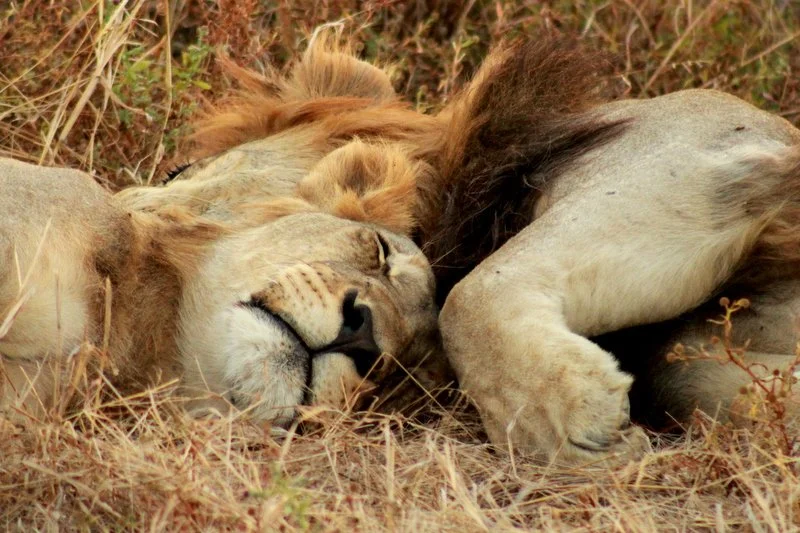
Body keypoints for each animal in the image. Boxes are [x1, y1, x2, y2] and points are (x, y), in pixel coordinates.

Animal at [112, 33, 800, 464]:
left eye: (179, 170)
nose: (361, 334)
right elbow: (697, 378)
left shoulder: (694, 136)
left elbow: (468, 296)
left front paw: (564, 421)